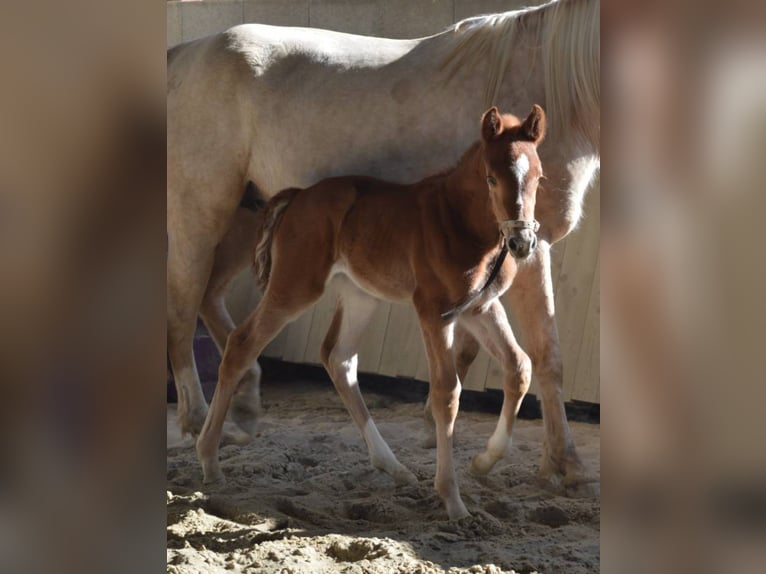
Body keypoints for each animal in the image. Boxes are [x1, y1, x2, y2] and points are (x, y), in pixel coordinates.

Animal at [197, 106, 547, 519]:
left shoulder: (481, 308)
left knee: (339, 358)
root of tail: (298, 197)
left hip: (360, 296)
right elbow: (446, 393)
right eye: (491, 178)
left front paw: (483, 461)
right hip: (296, 285)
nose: (522, 243)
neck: (461, 223)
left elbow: (520, 366)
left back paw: (393, 467)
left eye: (538, 178)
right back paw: (209, 461)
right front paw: (453, 500)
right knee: (242, 343)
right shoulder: (435, 312)